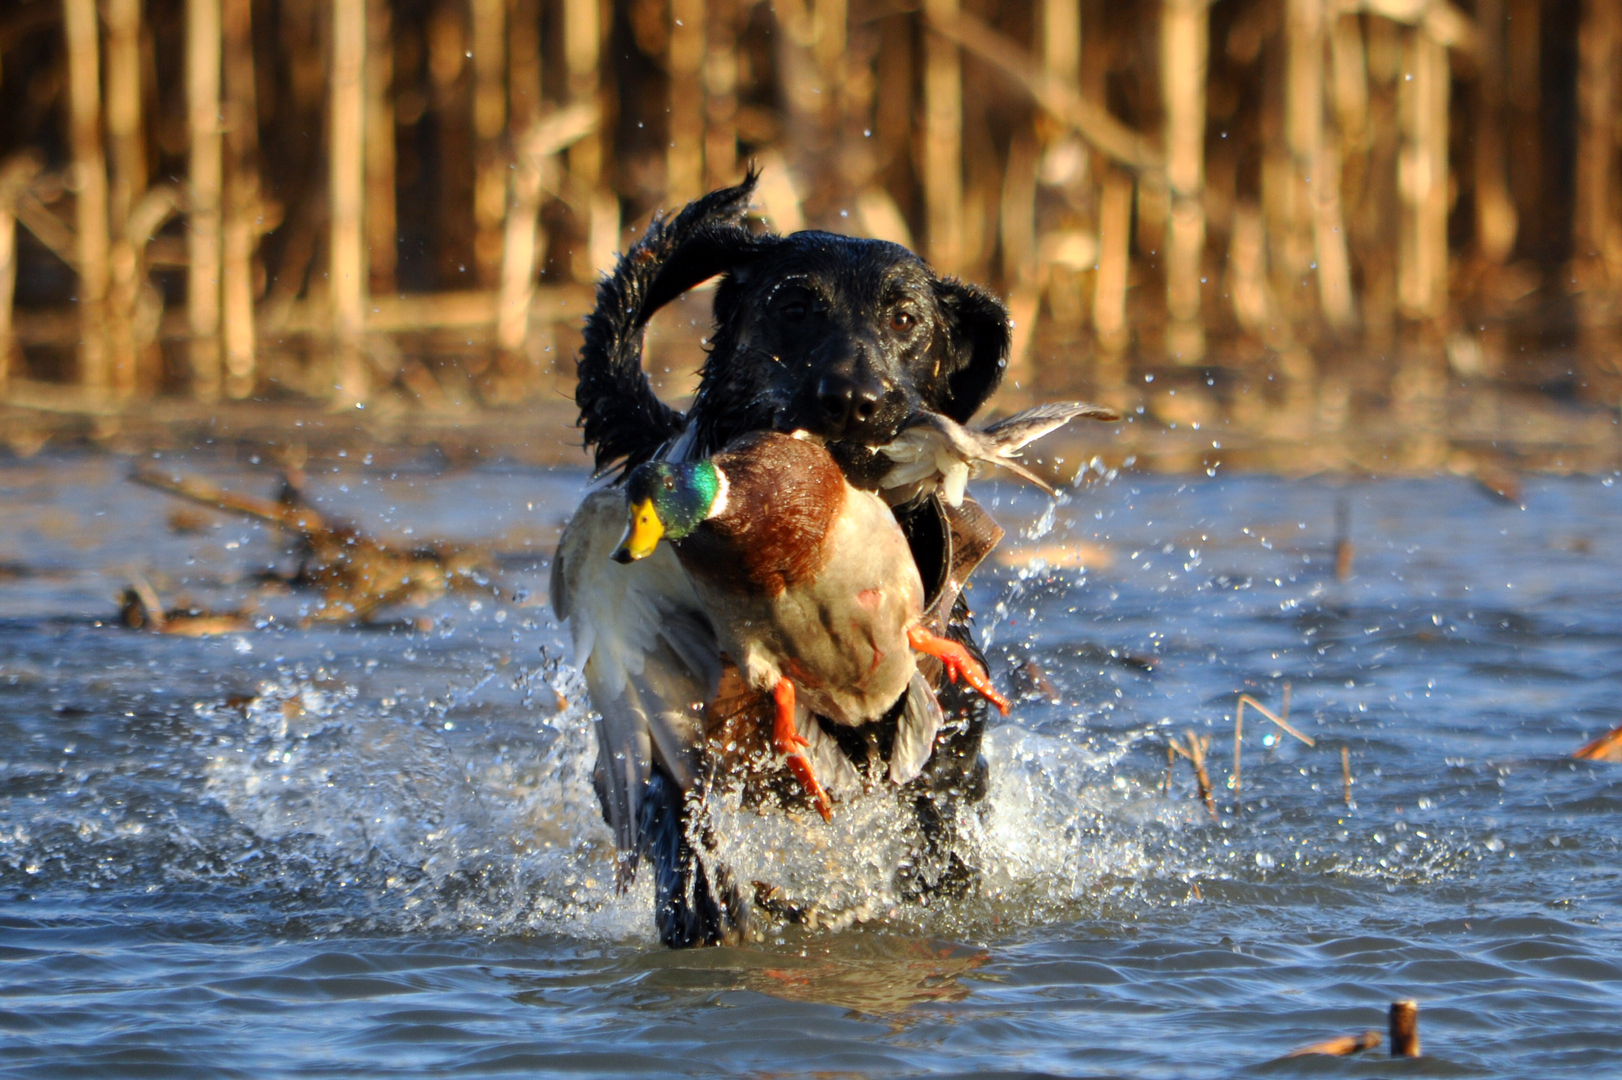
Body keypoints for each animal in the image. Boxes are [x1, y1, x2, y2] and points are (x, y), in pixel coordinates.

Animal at [567, 170, 999, 940]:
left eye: (906, 319)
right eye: (794, 305)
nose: (854, 400)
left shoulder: (945, 757)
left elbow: (943, 844)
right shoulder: (670, 728)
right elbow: (676, 813)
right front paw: (706, 908)